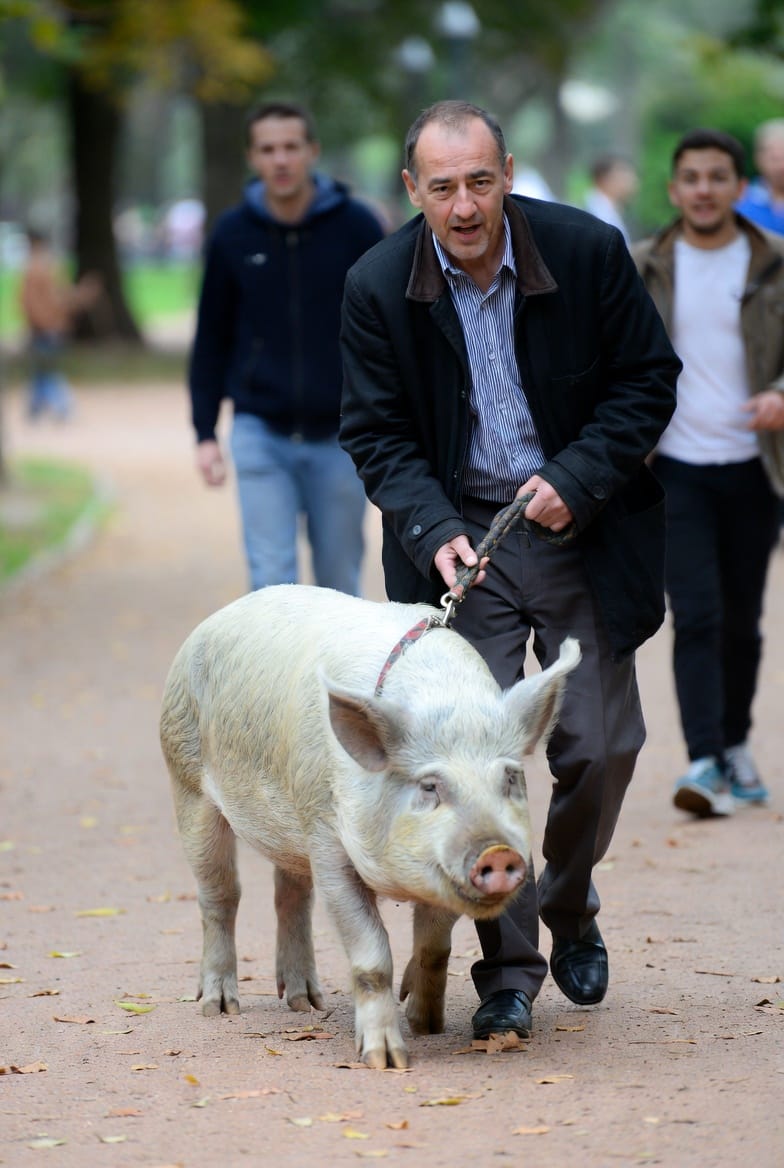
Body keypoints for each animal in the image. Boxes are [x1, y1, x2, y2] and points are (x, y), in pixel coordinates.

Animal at [159, 584, 580, 1069]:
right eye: (430, 786)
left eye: (510, 778)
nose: (498, 852)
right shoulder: (327, 839)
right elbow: (372, 958)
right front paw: (386, 1061)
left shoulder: (437, 871)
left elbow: (435, 944)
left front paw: (427, 1025)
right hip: (187, 779)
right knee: (220, 896)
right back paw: (220, 1007)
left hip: (290, 826)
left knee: (291, 895)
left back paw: (306, 1003)